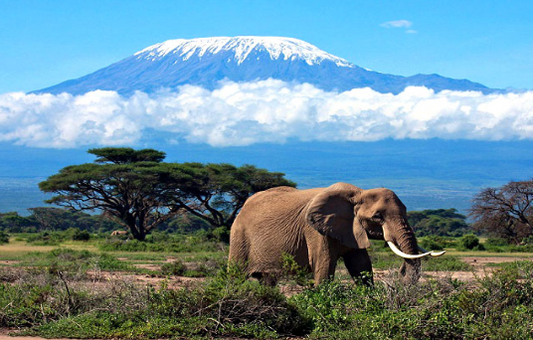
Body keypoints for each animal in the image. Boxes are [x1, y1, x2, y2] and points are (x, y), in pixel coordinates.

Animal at [228, 182, 440, 286]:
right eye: (378, 216)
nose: (400, 272)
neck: (359, 193)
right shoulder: (314, 230)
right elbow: (324, 265)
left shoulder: (352, 229)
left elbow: (361, 266)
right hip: (239, 235)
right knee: (235, 275)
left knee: (267, 280)